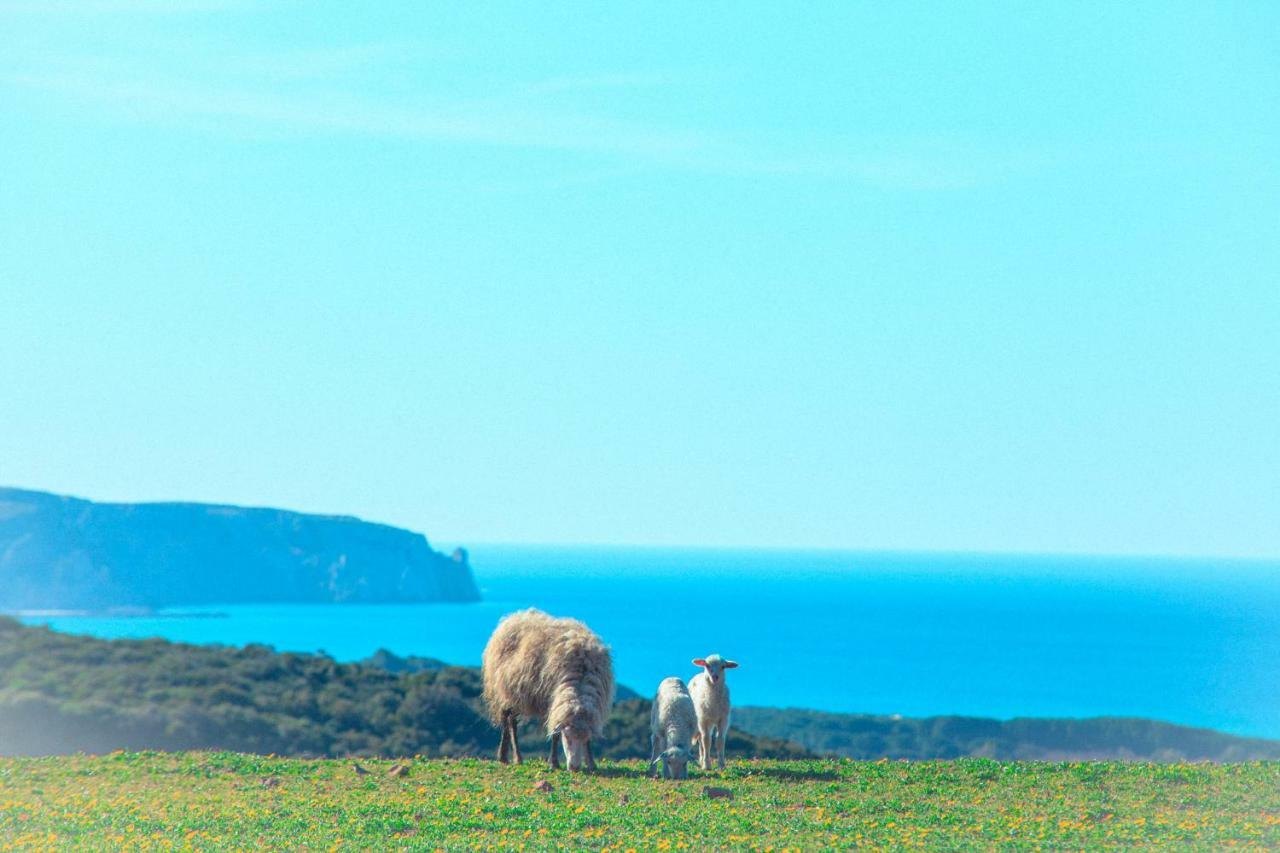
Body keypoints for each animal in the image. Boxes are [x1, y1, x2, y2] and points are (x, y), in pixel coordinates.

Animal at [481, 604, 616, 768]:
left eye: (584, 739)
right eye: (567, 737)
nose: (574, 767)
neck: (580, 681)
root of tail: (513, 616)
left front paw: (591, 763)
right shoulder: (552, 703)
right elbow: (555, 735)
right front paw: (554, 762)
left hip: (519, 695)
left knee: (511, 720)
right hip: (506, 689)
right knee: (508, 721)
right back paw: (507, 757)